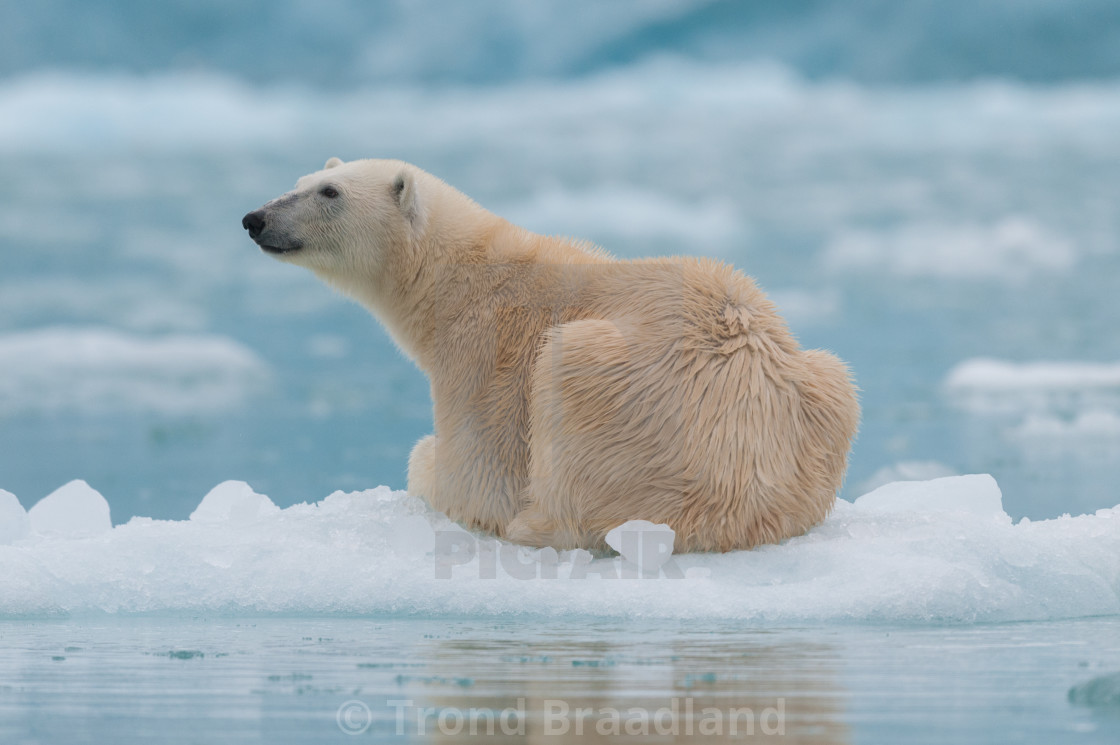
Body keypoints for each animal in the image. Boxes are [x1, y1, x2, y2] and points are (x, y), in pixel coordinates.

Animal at [245, 157, 855, 551]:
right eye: (299, 181)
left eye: (330, 192)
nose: (255, 219)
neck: (457, 275)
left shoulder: (485, 353)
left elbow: (474, 478)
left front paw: (431, 465)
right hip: (817, 388)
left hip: (632, 403)